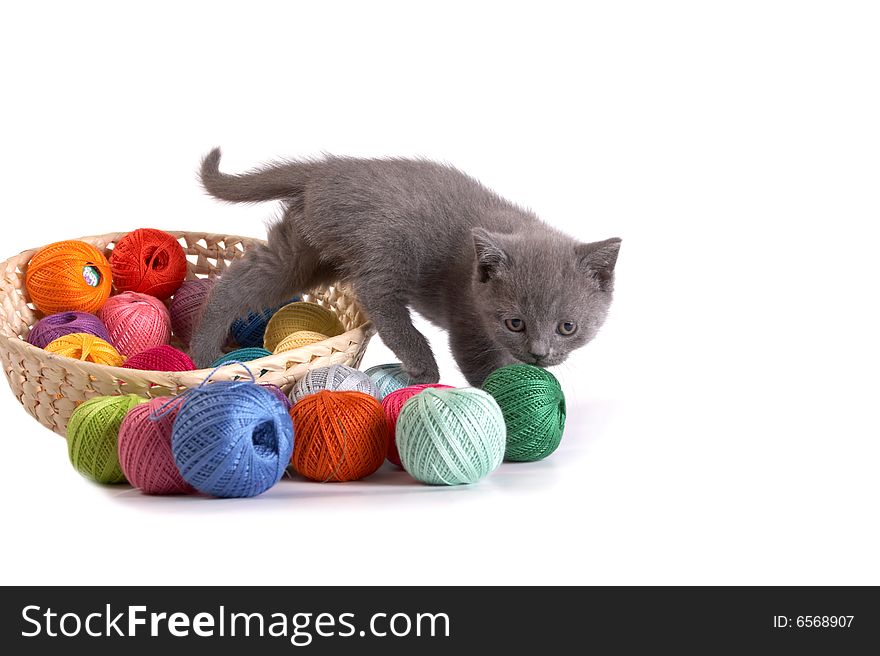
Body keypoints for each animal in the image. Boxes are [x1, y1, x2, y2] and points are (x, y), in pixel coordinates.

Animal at [192, 149, 624, 384]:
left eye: (567, 327)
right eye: (514, 322)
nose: (539, 352)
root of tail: (328, 170)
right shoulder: (467, 321)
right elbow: (482, 363)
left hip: (303, 250)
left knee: (241, 281)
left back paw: (204, 355)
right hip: (386, 243)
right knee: (378, 297)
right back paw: (422, 366)